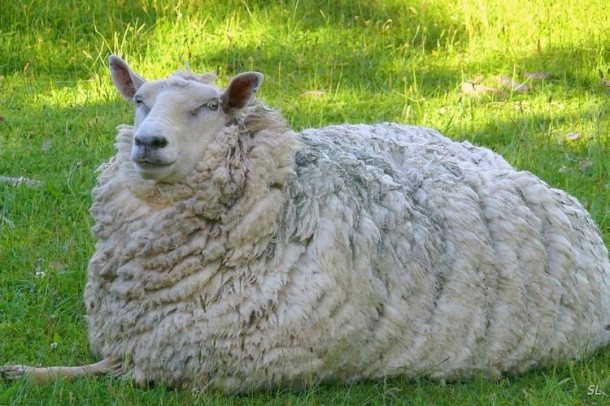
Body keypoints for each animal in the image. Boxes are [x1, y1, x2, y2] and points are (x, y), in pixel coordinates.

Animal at [1, 55, 608, 392]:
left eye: (211, 106)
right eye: (140, 101)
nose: (149, 143)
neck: (285, 204)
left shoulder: (190, 369)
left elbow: (108, 371)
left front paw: (30, 374)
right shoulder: (146, 344)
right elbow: (93, 366)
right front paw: (26, 372)